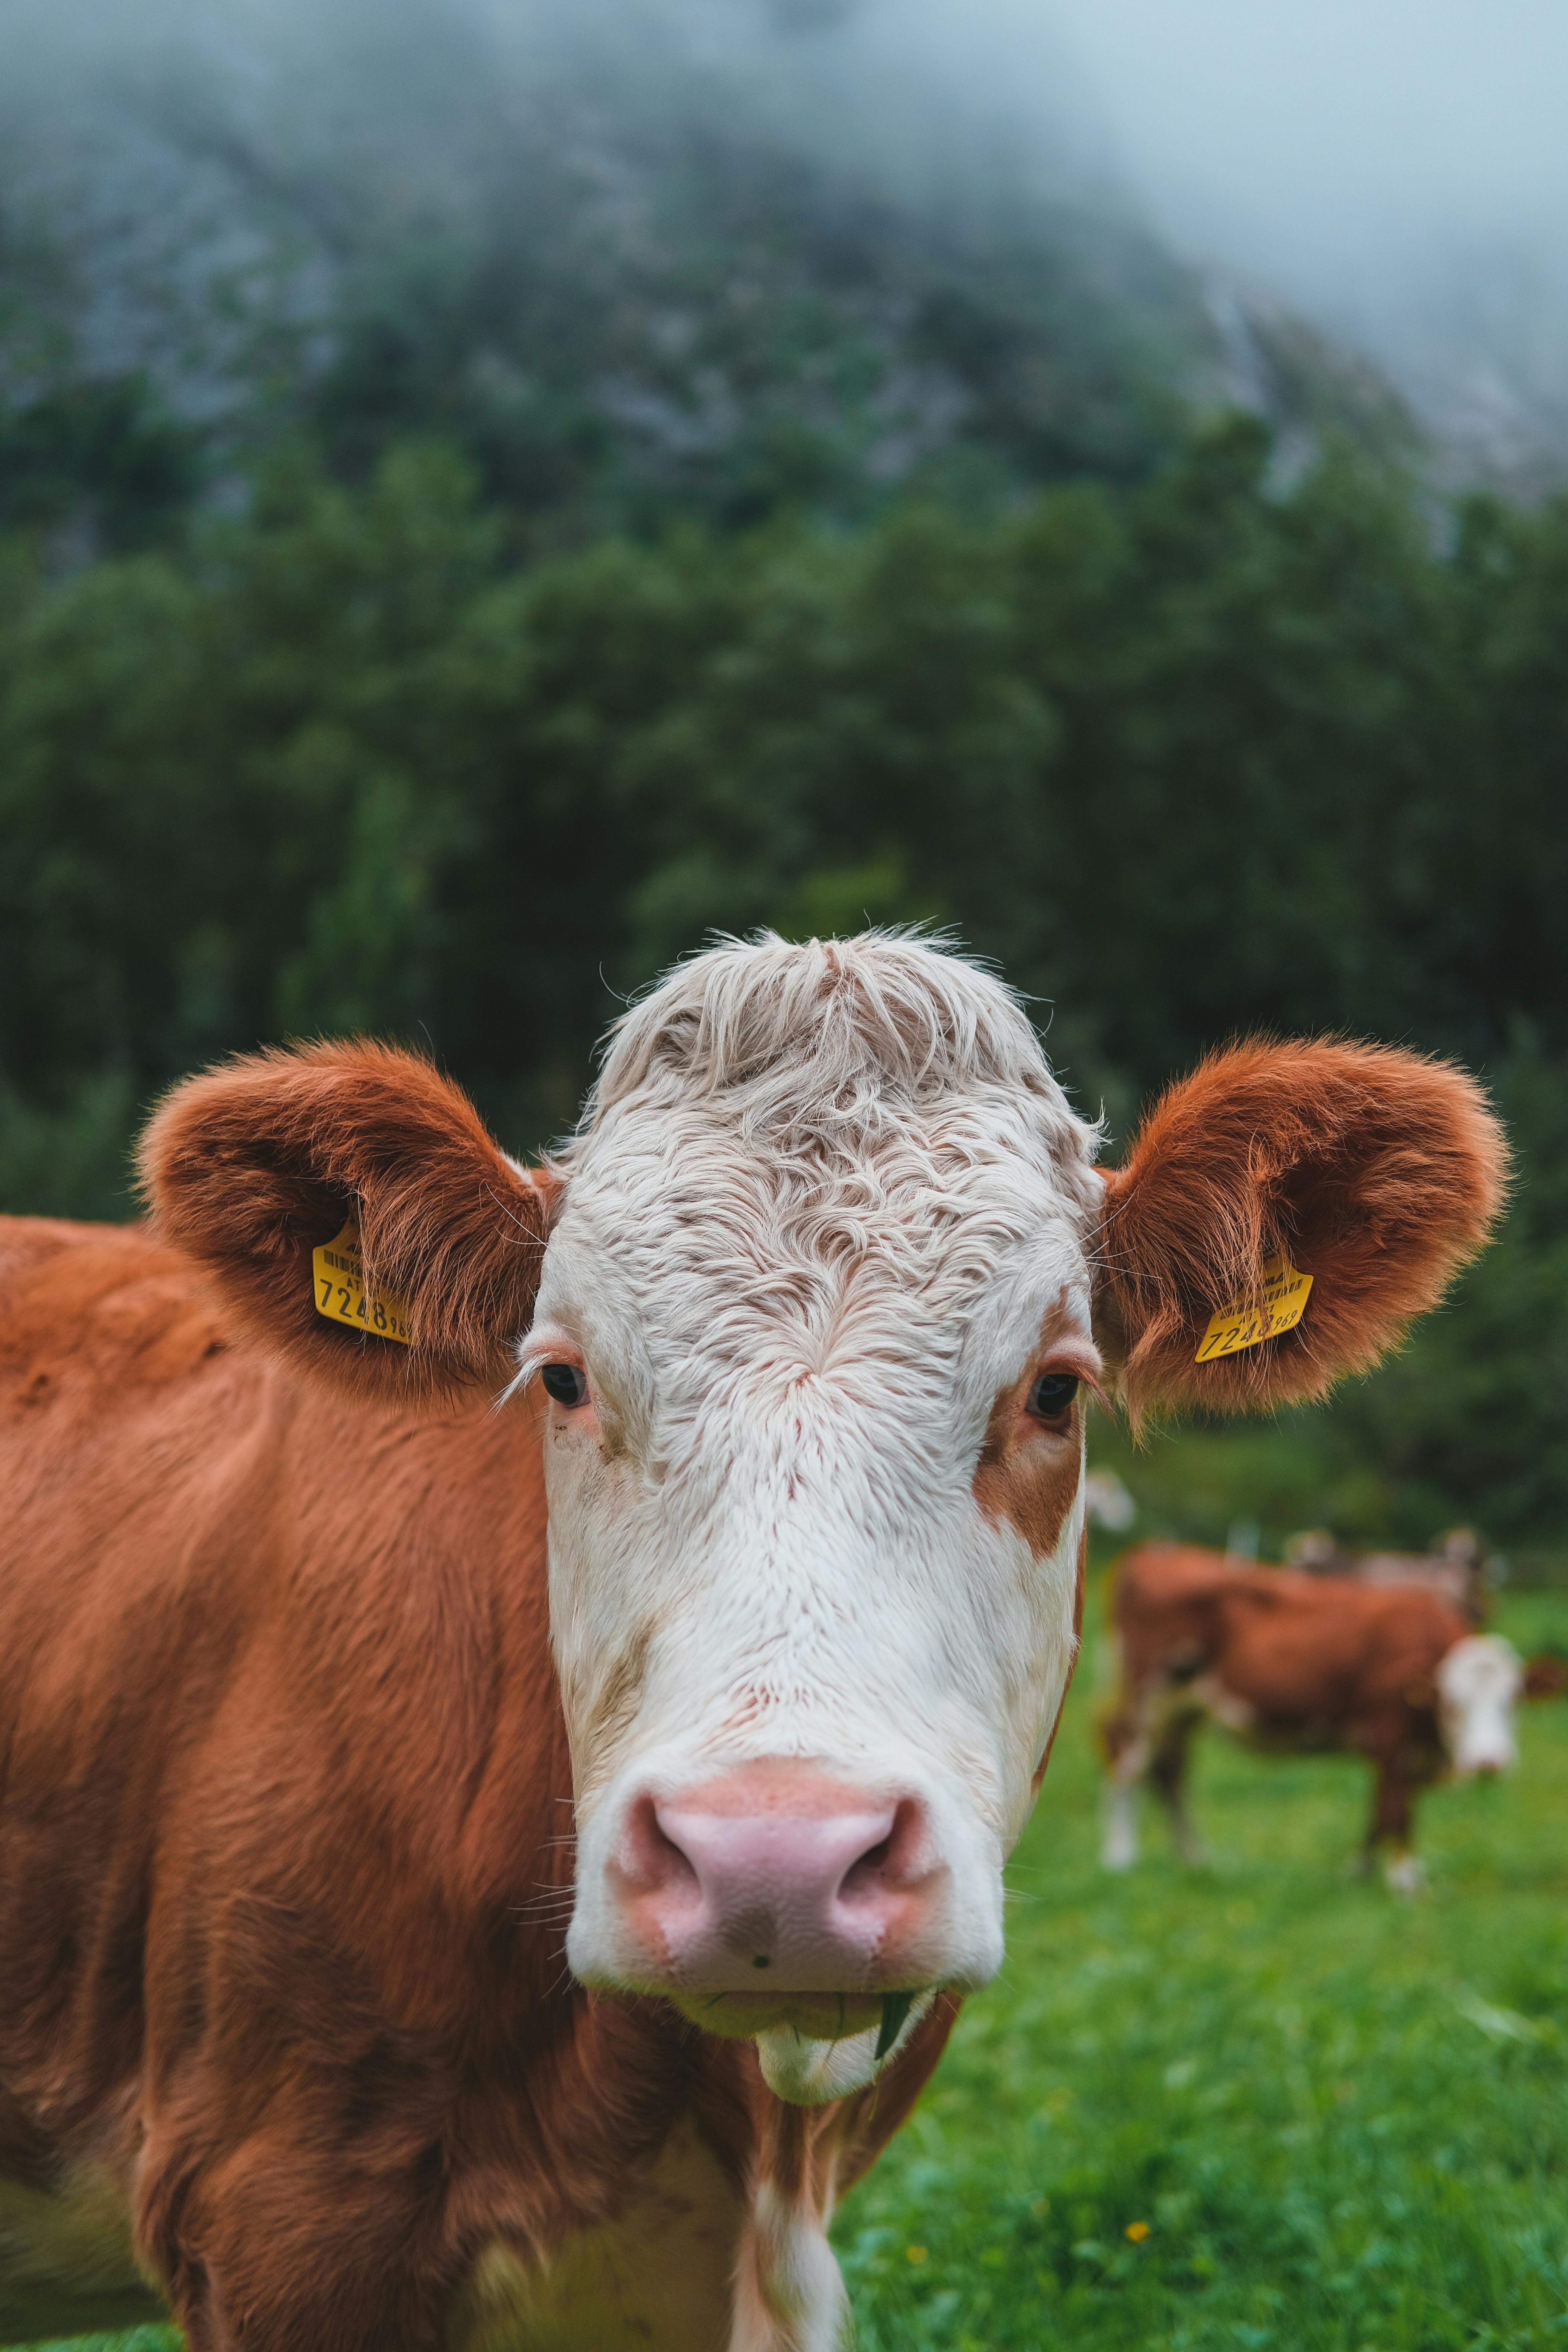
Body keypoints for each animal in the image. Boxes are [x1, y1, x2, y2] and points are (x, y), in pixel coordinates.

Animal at [1099, 1543, 1562, 1894]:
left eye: (1513, 1701)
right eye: (1453, 1705)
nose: (1489, 1763)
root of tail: (1154, 1552)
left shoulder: (1407, 1748)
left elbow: (1380, 1811)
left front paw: (1360, 1872)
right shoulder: (1389, 1737)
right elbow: (1395, 1809)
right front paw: (1406, 1881)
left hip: (1185, 1708)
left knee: (1168, 1774)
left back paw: (1194, 1859)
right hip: (1147, 1696)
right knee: (1127, 1763)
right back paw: (1120, 1856)